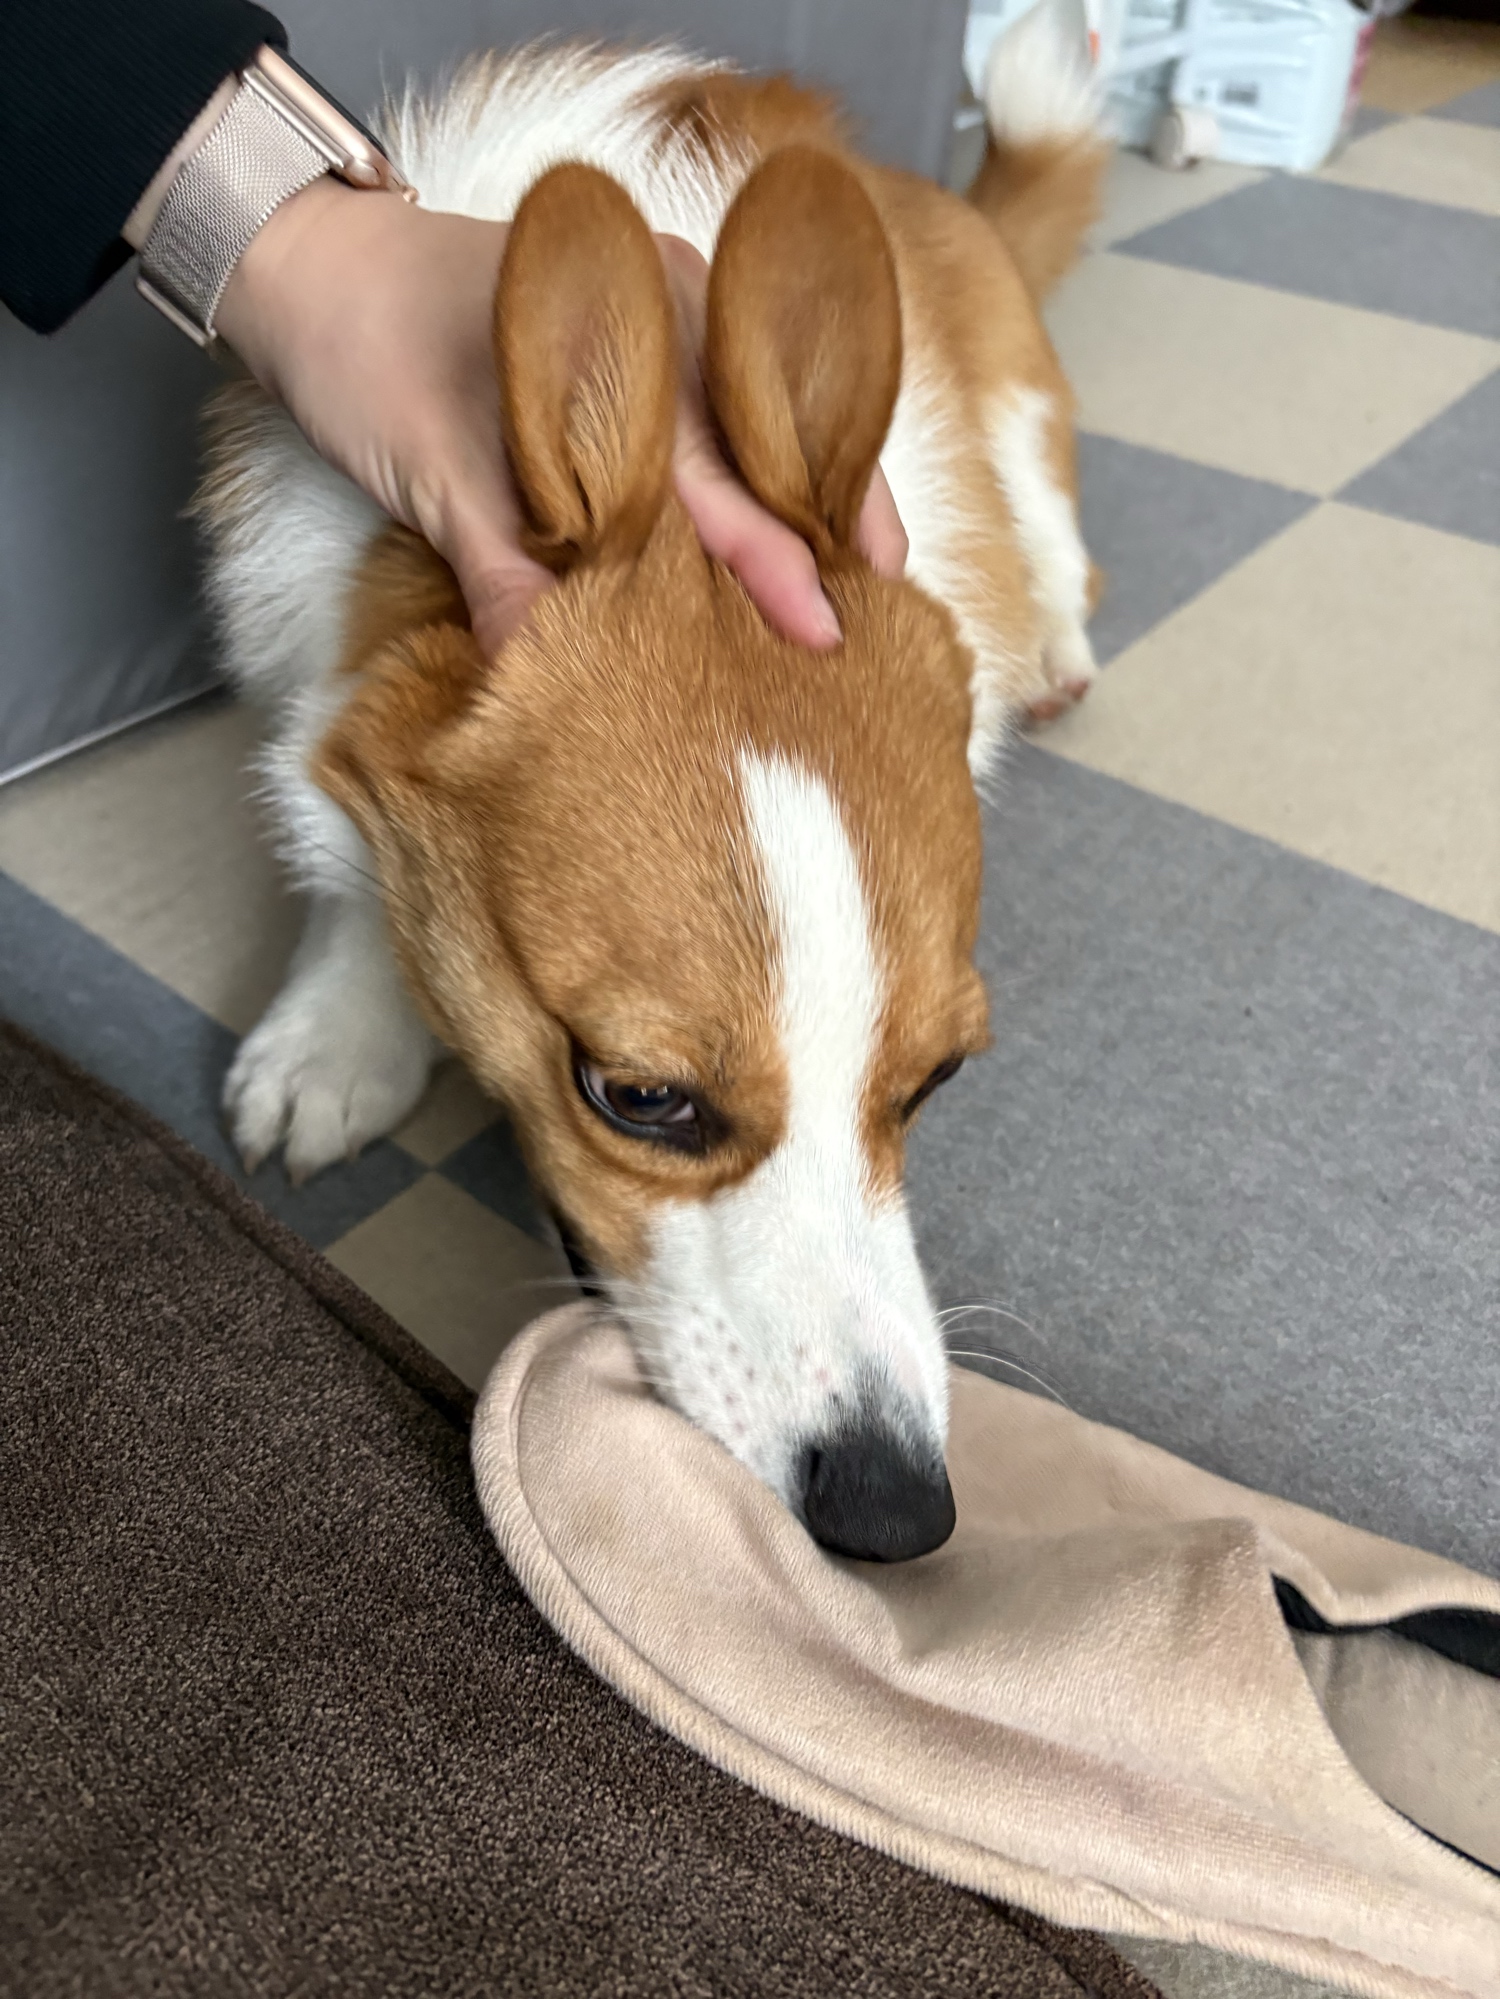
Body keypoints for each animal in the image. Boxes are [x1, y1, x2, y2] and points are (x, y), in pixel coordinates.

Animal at [197, 0, 1111, 1562]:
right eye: (638, 1096)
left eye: (936, 1077)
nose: (897, 1514)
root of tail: (941, 198)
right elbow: (356, 884)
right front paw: (336, 1038)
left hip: (1017, 385)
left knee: (1047, 509)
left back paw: (1051, 631)